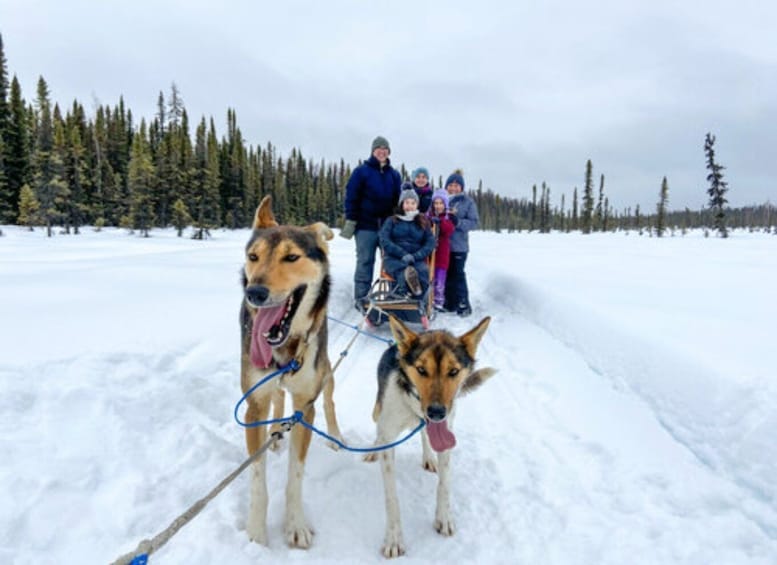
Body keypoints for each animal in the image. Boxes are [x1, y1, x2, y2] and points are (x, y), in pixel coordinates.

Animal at [239, 194, 342, 548]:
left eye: (292, 257)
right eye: (253, 256)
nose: (255, 293)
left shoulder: (304, 407)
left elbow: (295, 476)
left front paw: (295, 523)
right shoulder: (254, 404)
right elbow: (257, 477)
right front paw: (256, 532)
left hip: (326, 373)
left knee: (329, 401)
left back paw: (335, 436)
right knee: (277, 399)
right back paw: (274, 433)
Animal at [370, 316, 498, 556]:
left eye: (453, 371)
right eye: (421, 369)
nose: (437, 412)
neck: (413, 408)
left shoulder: (446, 435)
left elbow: (444, 484)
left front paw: (444, 517)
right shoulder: (389, 437)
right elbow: (392, 498)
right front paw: (393, 538)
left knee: (424, 435)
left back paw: (428, 457)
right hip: (378, 412)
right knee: (379, 430)